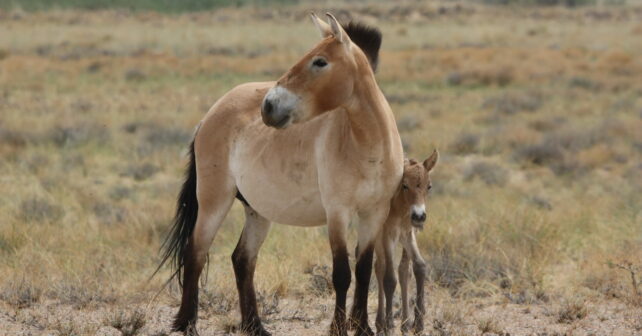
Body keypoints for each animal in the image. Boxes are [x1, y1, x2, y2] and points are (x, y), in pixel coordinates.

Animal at [158, 13, 400, 336]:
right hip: (214, 201)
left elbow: (363, 271)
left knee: (242, 260)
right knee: (195, 253)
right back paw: (187, 323)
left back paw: (255, 326)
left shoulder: (374, 213)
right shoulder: (338, 214)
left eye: (320, 61)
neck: (367, 146)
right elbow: (342, 274)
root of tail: (210, 115)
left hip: (257, 211)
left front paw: (362, 328)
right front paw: (337, 328)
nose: (268, 106)